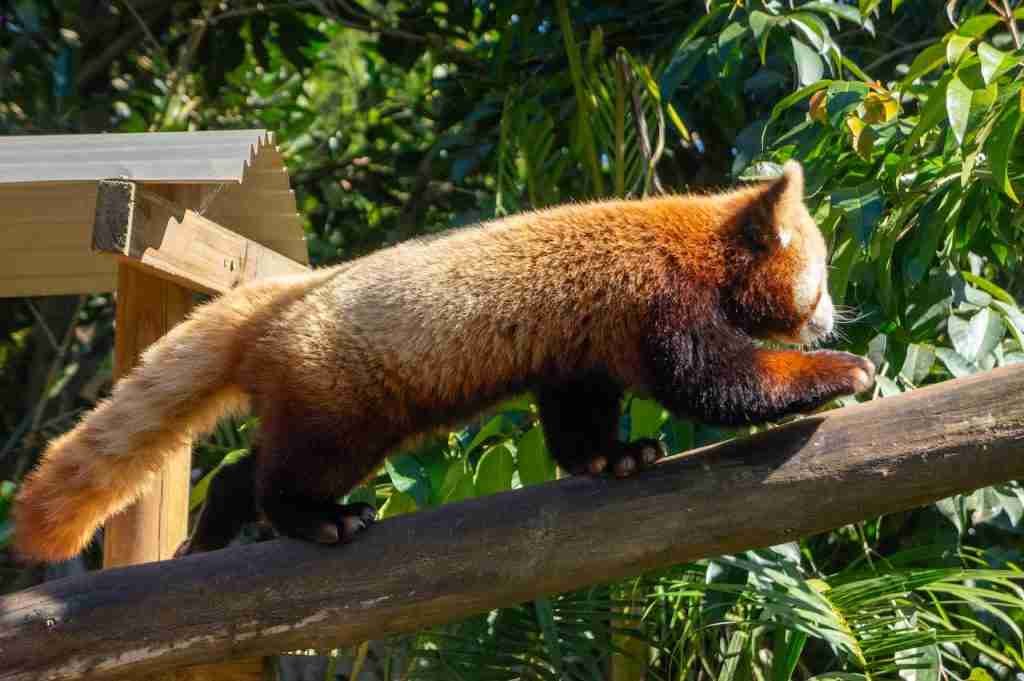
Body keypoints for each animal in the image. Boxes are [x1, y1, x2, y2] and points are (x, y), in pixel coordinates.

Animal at [9, 160, 872, 561]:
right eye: (822, 278)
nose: (833, 314)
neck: (701, 241)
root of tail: (273, 304)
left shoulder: (585, 340)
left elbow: (578, 409)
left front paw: (614, 455)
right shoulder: (657, 300)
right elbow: (715, 381)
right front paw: (846, 370)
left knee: (248, 466)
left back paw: (217, 526)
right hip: (347, 397)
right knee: (296, 468)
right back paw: (320, 517)